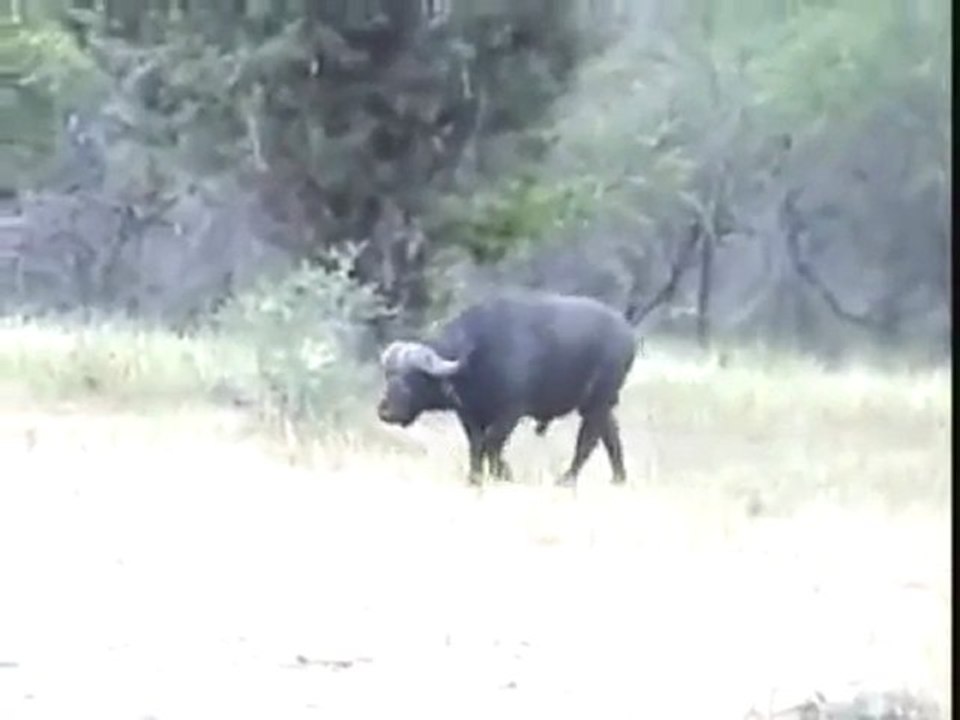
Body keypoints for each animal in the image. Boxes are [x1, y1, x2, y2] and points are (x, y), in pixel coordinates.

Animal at [376, 291, 639, 487]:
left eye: (414, 377)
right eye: (389, 375)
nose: (386, 412)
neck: (474, 361)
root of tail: (628, 334)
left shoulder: (510, 413)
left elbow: (492, 444)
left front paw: (503, 474)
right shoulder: (469, 416)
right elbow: (476, 446)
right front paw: (475, 479)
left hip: (598, 402)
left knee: (588, 439)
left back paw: (567, 480)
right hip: (600, 405)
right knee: (610, 436)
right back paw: (618, 478)